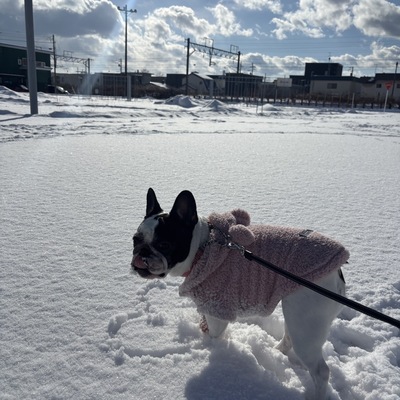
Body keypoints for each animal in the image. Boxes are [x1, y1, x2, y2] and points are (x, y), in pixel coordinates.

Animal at [131, 188, 346, 400]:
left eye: (164, 244)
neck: (202, 248)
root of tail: (336, 271)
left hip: (306, 320)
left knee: (320, 371)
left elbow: (215, 334)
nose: (142, 252)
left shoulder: (218, 310)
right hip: (296, 313)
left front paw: (212, 348)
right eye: (135, 240)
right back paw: (276, 352)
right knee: (289, 336)